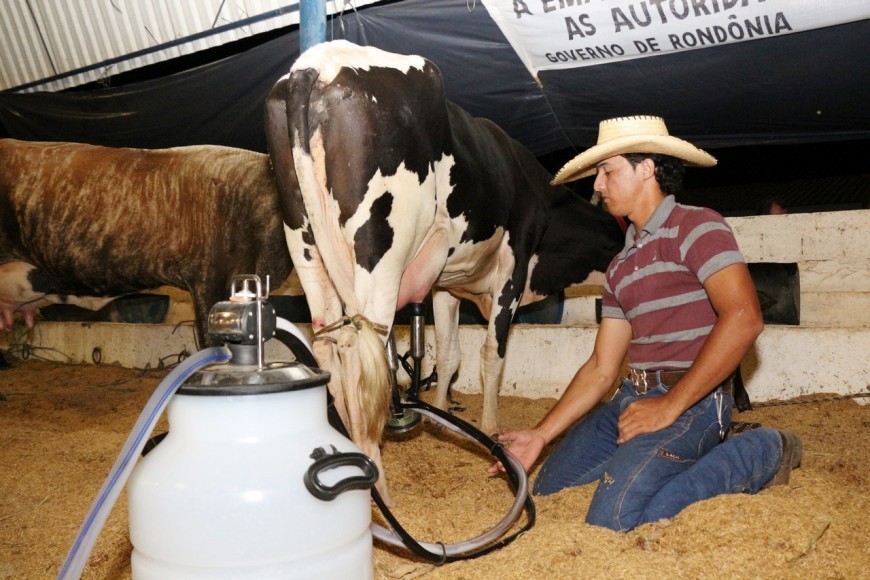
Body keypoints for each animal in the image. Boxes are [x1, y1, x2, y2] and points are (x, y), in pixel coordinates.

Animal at [262, 40, 624, 506]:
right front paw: (491, 430)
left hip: (305, 244)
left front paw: (439, 411)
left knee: (327, 343)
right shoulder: (513, 268)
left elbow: (450, 353)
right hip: (379, 254)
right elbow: (492, 353)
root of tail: (316, 64)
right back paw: (376, 489)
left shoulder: (445, 284)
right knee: (361, 356)